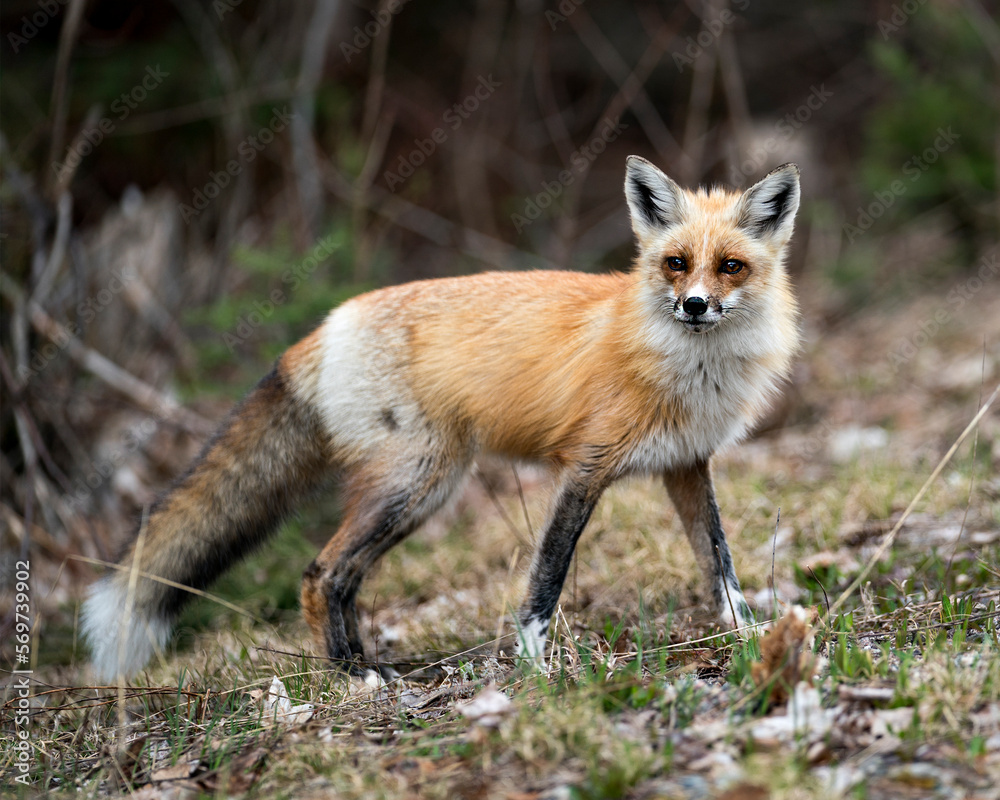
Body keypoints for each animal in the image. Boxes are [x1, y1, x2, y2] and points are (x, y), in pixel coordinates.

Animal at [82, 158, 800, 680]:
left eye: (731, 266)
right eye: (676, 263)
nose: (695, 306)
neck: (689, 371)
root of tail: (323, 328)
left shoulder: (686, 464)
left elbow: (720, 567)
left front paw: (748, 637)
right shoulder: (585, 468)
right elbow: (546, 579)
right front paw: (535, 669)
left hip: (421, 488)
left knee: (337, 579)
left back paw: (366, 667)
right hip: (419, 482)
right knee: (321, 575)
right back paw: (355, 678)